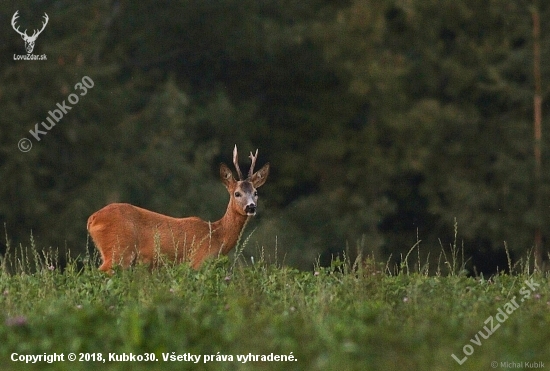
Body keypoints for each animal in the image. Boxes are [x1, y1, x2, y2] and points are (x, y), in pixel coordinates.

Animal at [87, 145, 270, 274]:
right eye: (237, 193)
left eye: (256, 193)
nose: (251, 207)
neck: (217, 235)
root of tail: (92, 219)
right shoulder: (197, 261)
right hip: (119, 249)